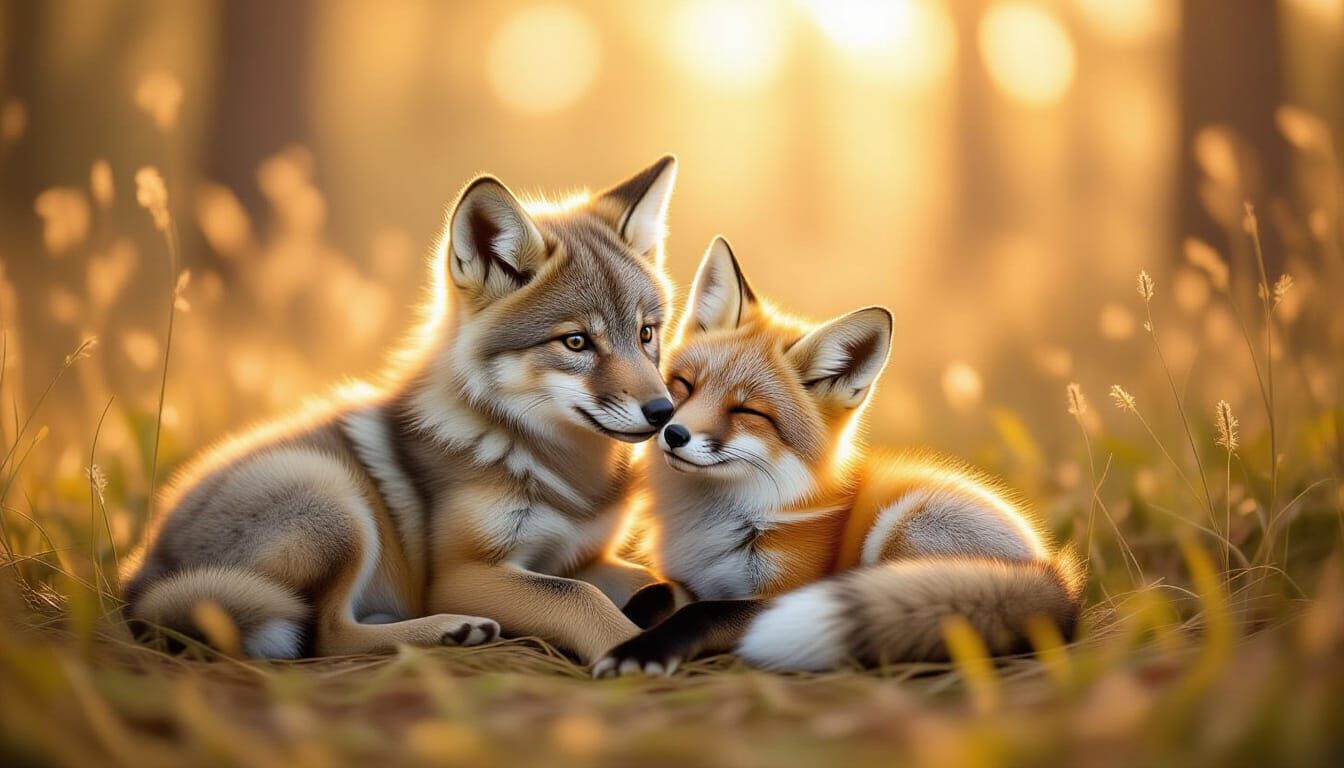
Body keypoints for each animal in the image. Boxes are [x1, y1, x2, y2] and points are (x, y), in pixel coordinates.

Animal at [123, 156, 682, 663]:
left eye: (645, 334)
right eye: (576, 342)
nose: (664, 414)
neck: (570, 484)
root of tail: (139, 576)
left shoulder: (581, 555)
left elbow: (656, 578)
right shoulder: (464, 573)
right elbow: (580, 599)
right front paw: (629, 651)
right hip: (334, 505)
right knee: (324, 637)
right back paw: (447, 630)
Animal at [595, 237, 1083, 676]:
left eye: (747, 412)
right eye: (684, 385)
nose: (673, 434)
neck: (714, 521)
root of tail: (1056, 576)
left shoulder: (780, 593)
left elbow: (701, 614)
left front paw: (640, 651)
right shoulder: (694, 580)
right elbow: (654, 594)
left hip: (903, 524)